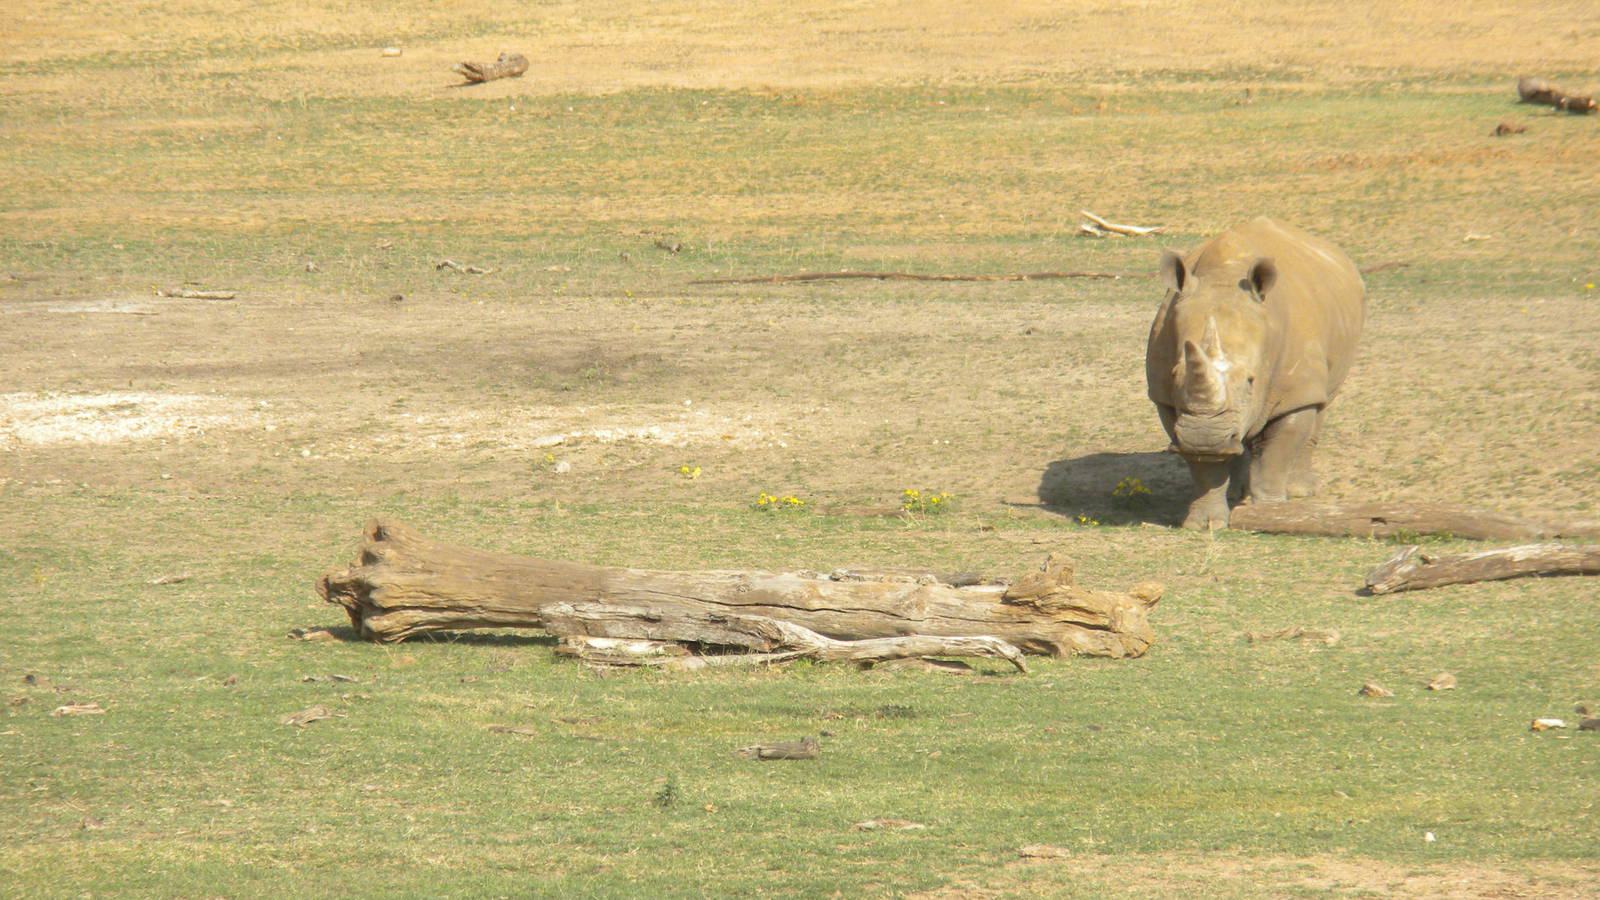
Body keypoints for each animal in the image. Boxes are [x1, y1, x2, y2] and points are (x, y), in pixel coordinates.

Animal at [1145, 217, 1366, 529]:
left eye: (1251, 381)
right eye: (1176, 375)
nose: (1205, 438)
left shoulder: (1296, 391)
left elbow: (1280, 448)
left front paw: (1271, 513)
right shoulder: (1163, 394)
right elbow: (1204, 466)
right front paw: (1205, 524)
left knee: (1323, 401)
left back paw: (1299, 491)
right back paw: (1238, 492)